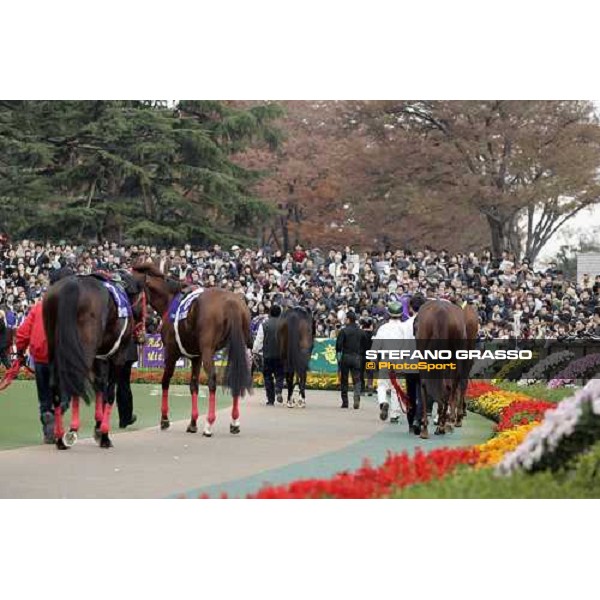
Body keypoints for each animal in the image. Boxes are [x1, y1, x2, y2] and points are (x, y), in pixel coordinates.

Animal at [43, 272, 145, 450]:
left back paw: (59, 437)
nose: (142, 333)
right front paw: (104, 434)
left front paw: (98, 426)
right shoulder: (118, 355)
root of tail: (72, 285)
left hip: (55, 350)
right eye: (145, 301)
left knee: (56, 387)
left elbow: (99, 386)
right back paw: (71, 431)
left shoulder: (99, 357)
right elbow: (109, 393)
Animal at [132, 262, 252, 436]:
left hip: (209, 350)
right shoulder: (196, 356)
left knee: (212, 380)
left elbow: (165, 381)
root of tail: (231, 302)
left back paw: (209, 424)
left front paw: (164, 419)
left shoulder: (171, 353)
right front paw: (193, 422)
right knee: (236, 375)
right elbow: (193, 385)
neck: (170, 300)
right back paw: (234, 422)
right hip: (238, 348)